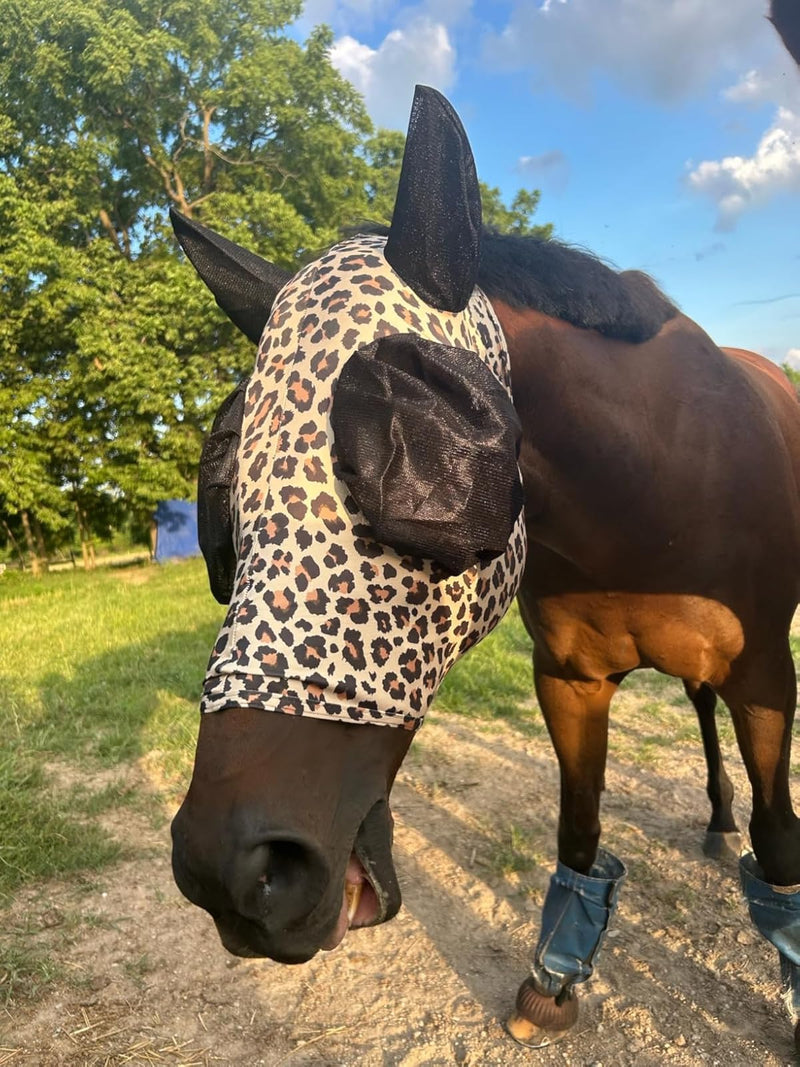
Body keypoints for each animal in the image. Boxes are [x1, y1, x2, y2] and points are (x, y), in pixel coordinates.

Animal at [169, 86, 800, 1054]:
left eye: (419, 472)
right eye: (224, 517)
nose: (229, 871)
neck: (647, 504)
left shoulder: (768, 677)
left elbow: (779, 841)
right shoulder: (570, 679)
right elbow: (578, 832)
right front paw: (554, 983)